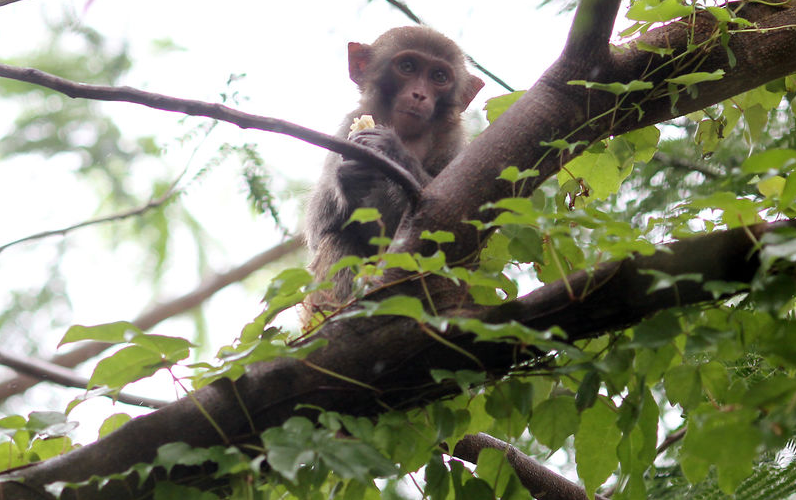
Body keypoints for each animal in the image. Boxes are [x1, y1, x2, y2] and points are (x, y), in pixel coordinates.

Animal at [304, 25, 486, 314]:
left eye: (438, 76)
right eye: (408, 67)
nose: (419, 95)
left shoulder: (454, 139)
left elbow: (462, 222)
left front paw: (391, 148)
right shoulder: (347, 128)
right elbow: (317, 229)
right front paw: (349, 178)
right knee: (335, 237)